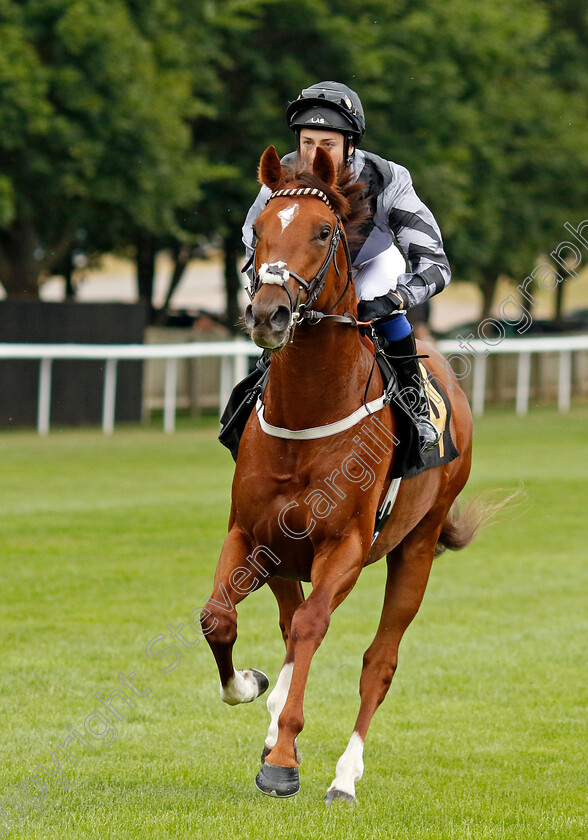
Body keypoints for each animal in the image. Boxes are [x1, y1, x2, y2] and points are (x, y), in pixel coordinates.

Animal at [201, 148, 482, 804]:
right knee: (286, 620)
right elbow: (218, 617)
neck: (308, 413)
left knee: (378, 660)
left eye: (325, 232)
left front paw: (283, 758)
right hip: (285, 555)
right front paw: (250, 687)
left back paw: (344, 775)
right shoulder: (250, 535)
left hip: (418, 546)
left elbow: (312, 627)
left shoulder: (345, 547)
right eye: (259, 229)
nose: (269, 313)